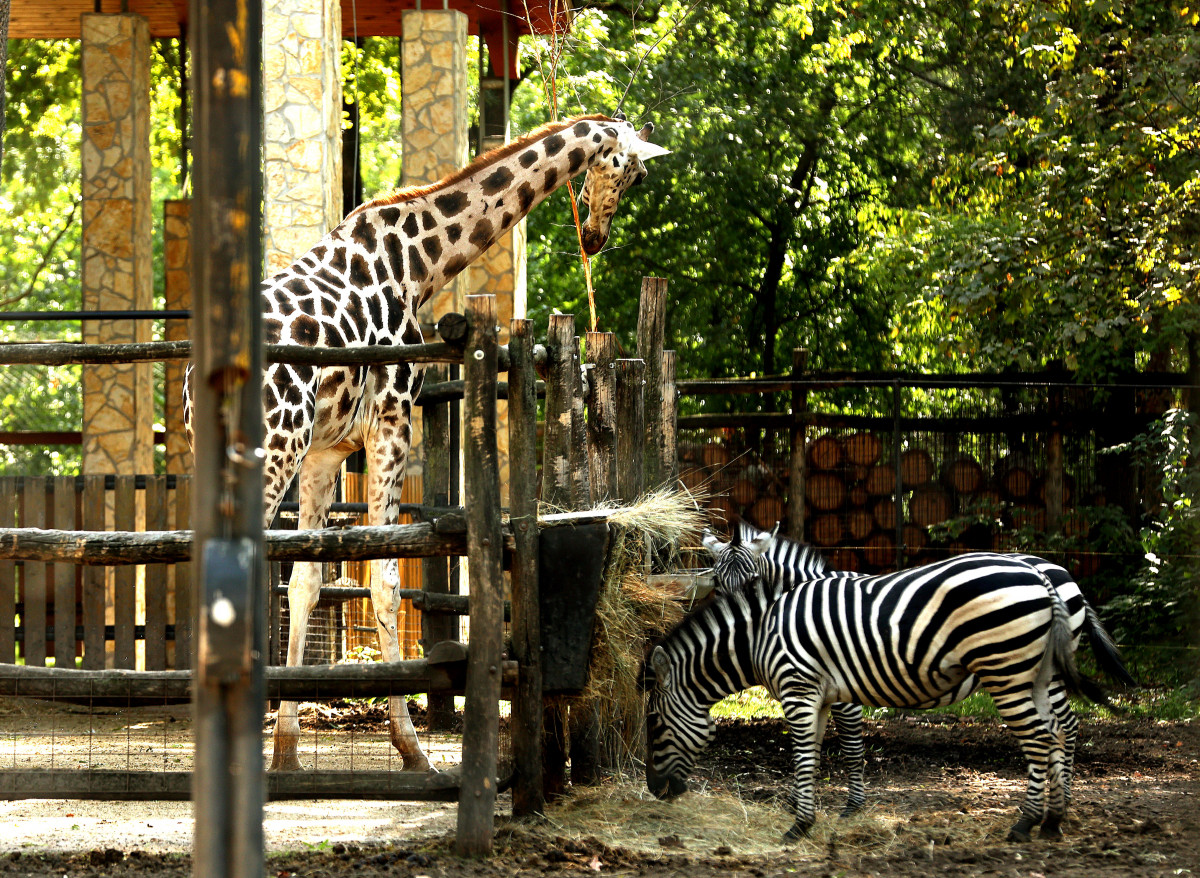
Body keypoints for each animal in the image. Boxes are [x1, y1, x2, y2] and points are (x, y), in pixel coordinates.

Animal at [188, 115, 676, 767]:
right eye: (637, 172)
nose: (595, 238)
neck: (417, 262)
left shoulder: (326, 453)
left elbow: (307, 586)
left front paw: (287, 752)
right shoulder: (392, 421)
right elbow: (387, 585)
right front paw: (411, 750)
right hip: (270, 453)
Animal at [643, 549, 1108, 844]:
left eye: (654, 724)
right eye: (717, 583)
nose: (655, 791)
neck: (762, 634)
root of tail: (1044, 573)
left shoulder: (800, 689)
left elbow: (816, 751)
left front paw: (804, 824)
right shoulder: (818, 694)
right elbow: (814, 753)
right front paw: (803, 812)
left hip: (1006, 670)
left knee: (1041, 738)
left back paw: (1027, 823)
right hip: (1041, 672)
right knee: (1061, 730)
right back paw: (1054, 820)